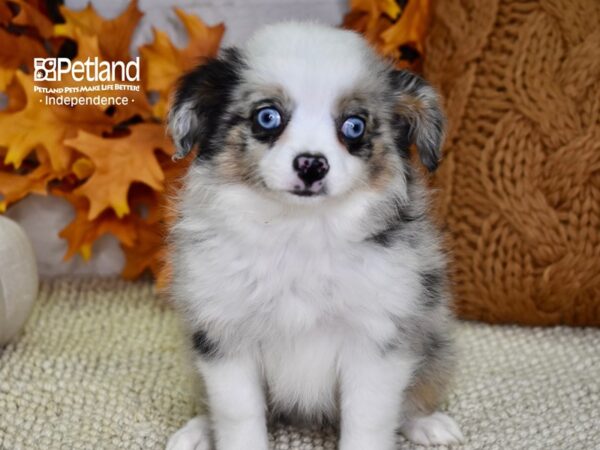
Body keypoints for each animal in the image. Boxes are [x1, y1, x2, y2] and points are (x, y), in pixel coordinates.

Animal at [166, 22, 462, 450]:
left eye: (354, 126)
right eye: (267, 117)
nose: (311, 165)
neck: (298, 229)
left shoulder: (376, 339)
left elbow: (368, 422)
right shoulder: (225, 336)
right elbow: (238, 416)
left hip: (433, 341)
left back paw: (427, 423)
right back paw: (197, 431)